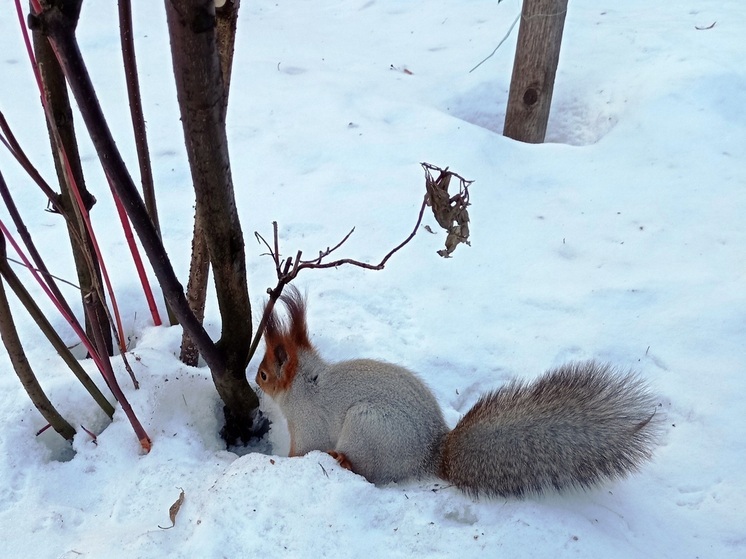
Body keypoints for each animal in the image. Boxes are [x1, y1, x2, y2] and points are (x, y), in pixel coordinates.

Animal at [254, 288, 656, 498]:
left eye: (263, 373)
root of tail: (433, 454)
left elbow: (301, 451)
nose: (256, 384)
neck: (305, 383)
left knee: (368, 473)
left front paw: (285, 463)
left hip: (366, 429)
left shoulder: (308, 427)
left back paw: (343, 462)